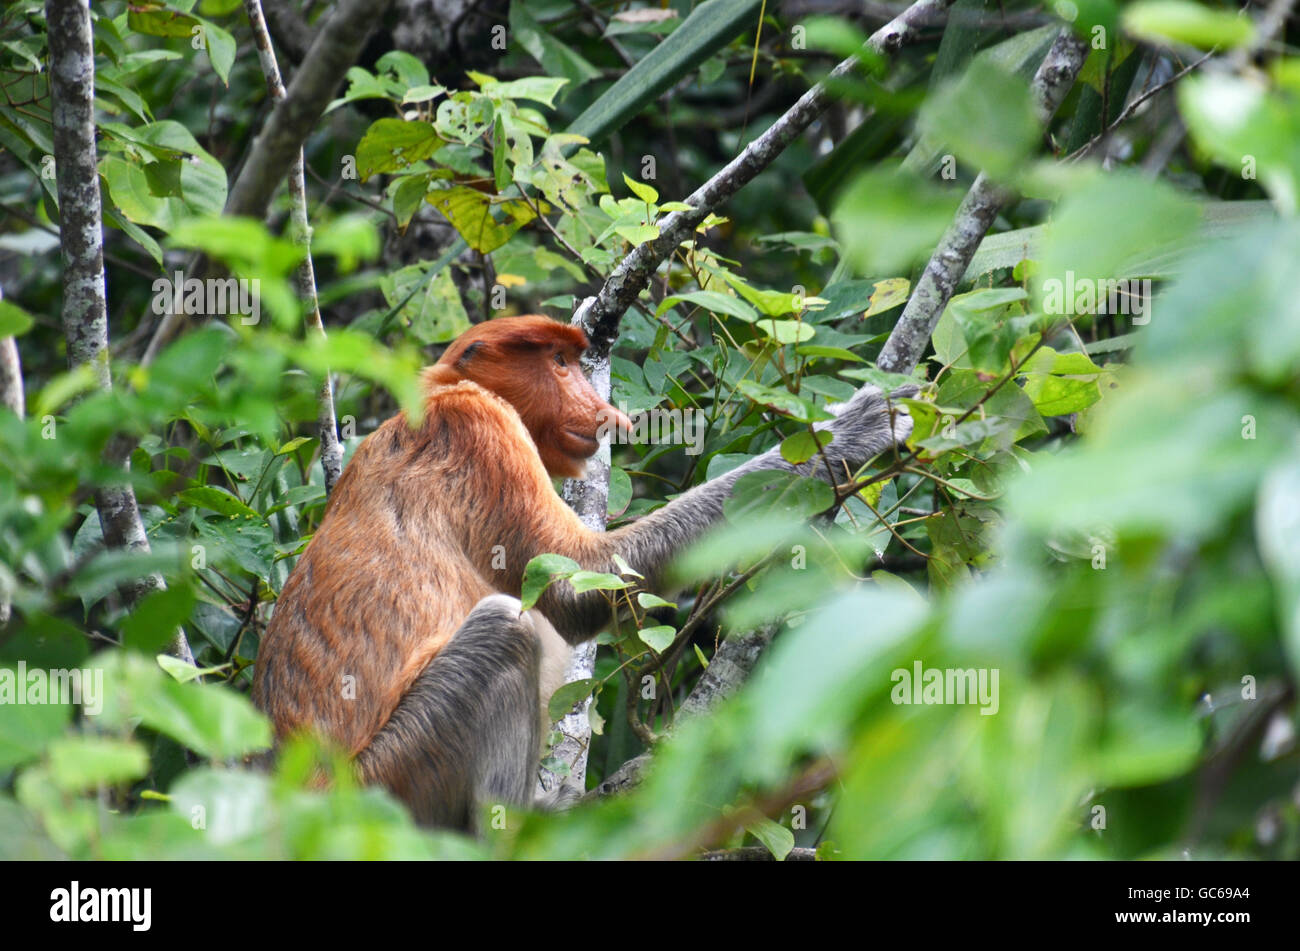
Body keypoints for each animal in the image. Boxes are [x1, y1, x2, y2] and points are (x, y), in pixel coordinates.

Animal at [253, 315, 915, 826]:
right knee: (505, 631)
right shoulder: (483, 433)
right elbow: (579, 587)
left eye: (575, 361)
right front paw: (854, 429)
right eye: (557, 363)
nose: (605, 414)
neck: (438, 394)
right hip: (392, 780)